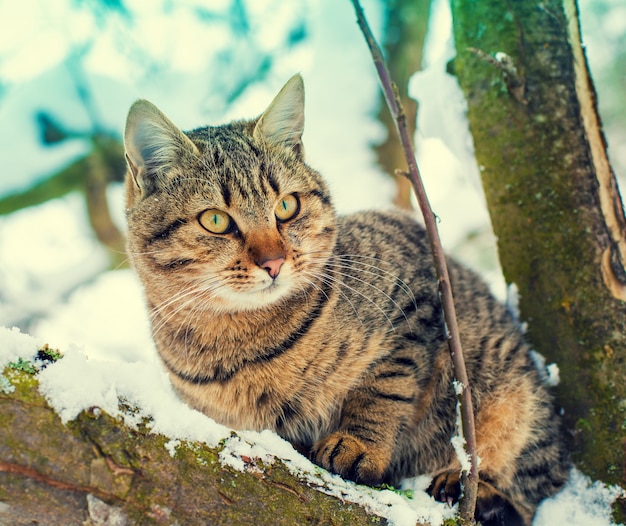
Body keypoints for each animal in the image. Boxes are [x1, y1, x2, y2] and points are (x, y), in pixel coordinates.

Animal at [123, 75, 572, 526]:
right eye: (215, 220)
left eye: (287, 206)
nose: (274, 261)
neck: (240, 340)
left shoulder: (417, 298)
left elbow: (384, 387)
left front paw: (358, 445)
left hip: (515, 398)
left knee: (536, 483)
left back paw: (475, 490)